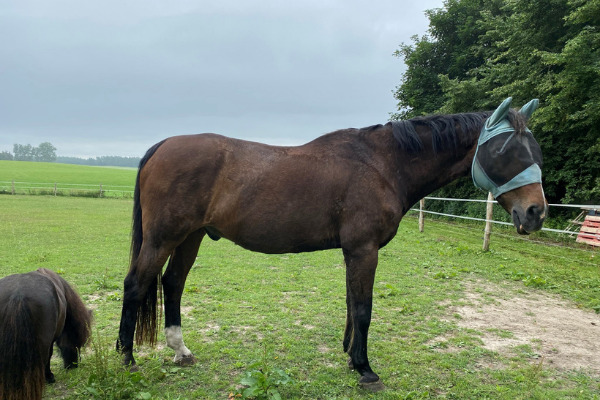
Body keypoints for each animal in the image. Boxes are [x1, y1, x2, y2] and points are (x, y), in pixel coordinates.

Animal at [117, 98, 548, 390]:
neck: (383, 164)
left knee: (172, 284)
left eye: (536, 151)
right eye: (505, 151)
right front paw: (366, 369)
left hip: (189, 237)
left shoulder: (353, 252)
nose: (536, 213)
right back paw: (127, 358)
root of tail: (162, 146)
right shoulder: (363, 250)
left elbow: (350, 305)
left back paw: (180, 351)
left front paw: (352, 359)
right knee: (136, 285)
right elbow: (362, 310)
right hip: (163, 238)